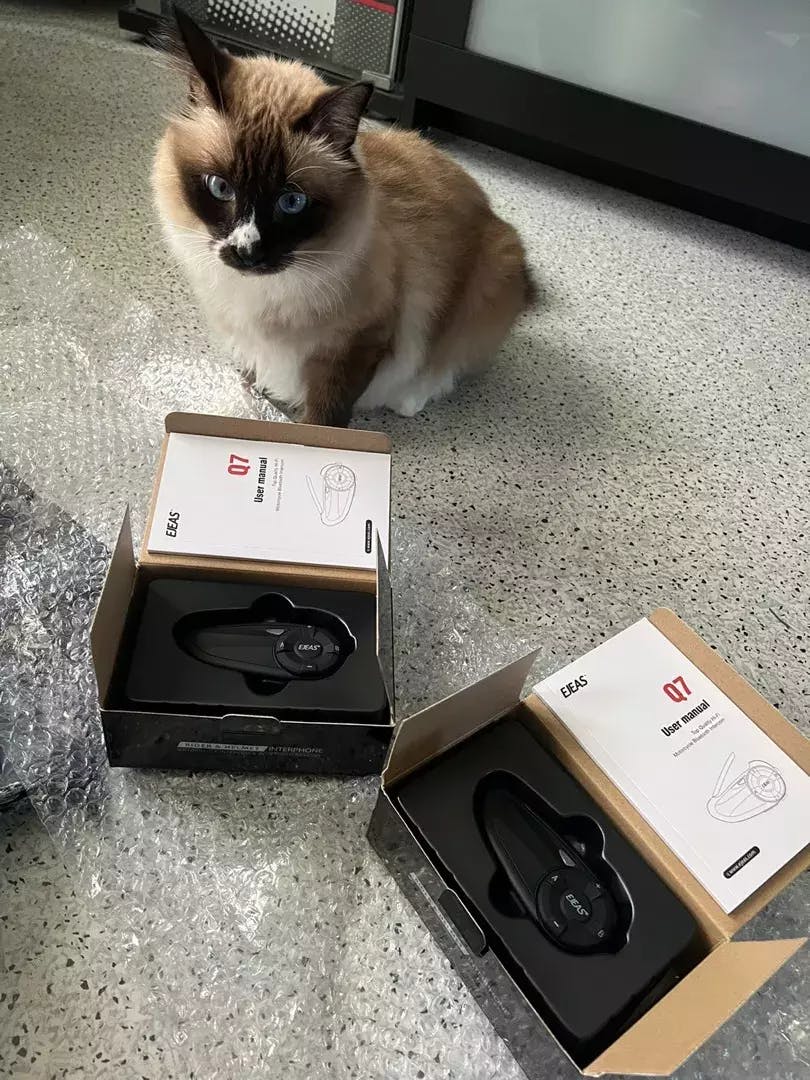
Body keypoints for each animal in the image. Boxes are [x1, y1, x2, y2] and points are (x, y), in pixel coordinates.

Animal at [153, 9, 535, 427]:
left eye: (291, 202)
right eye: (221, 188)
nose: (247, 252)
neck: (261, 295)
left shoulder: (357, 343)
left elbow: (325, 415)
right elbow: (254, 368)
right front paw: (258, 392)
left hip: (488, 280)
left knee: (449, 364)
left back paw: (411, 398)